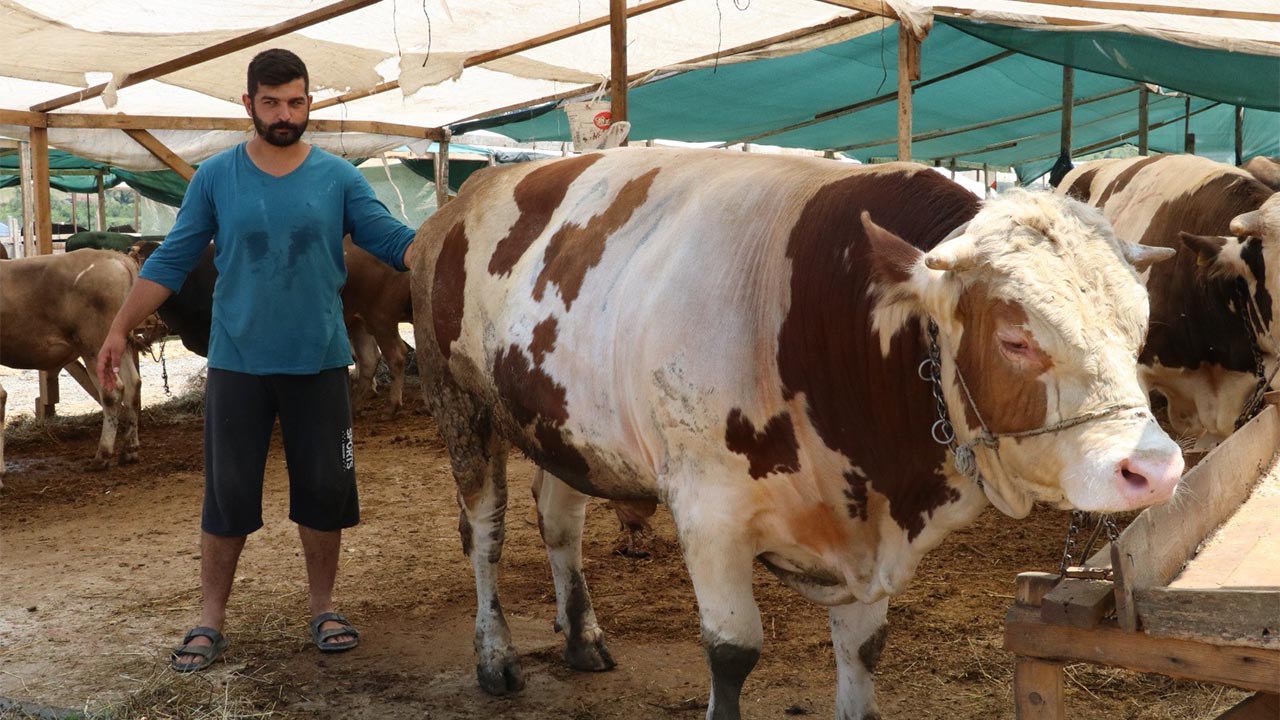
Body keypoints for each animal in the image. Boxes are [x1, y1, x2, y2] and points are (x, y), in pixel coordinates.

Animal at [0, 248, 142, 476]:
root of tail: (115, 257)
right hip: (121, 345)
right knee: (132, 386)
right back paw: (129, 451)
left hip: (95, 345)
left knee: (112, 392)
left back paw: (101, 456)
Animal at [407, 148, 1177, 712]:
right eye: (1016, 339)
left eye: (1141, 326)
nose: (1154, 469)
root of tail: (458, 204)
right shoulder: (709, 513)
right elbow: (732, 652)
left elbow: (863, 653)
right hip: (460, 405)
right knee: (486, 534)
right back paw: (495, 654)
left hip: (563, 430)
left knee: (558, 521)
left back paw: (582, 635)